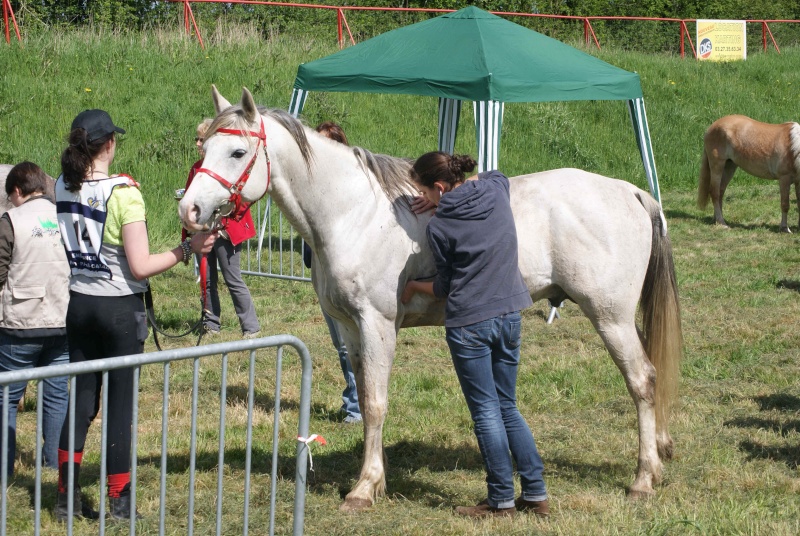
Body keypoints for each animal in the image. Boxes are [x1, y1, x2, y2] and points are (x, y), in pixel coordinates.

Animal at [180, 88, 680, 510]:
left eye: (237, 152)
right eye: (204, 149)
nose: (190, 210)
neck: (353, 213)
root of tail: (634, 193)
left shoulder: (377, 324)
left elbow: (376, 403)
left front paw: (364, 488)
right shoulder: (351, 328)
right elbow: (366, 395)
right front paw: (375, 477)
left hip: (610, 317)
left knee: (642, 380)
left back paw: (643, 478)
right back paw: (659, 453)